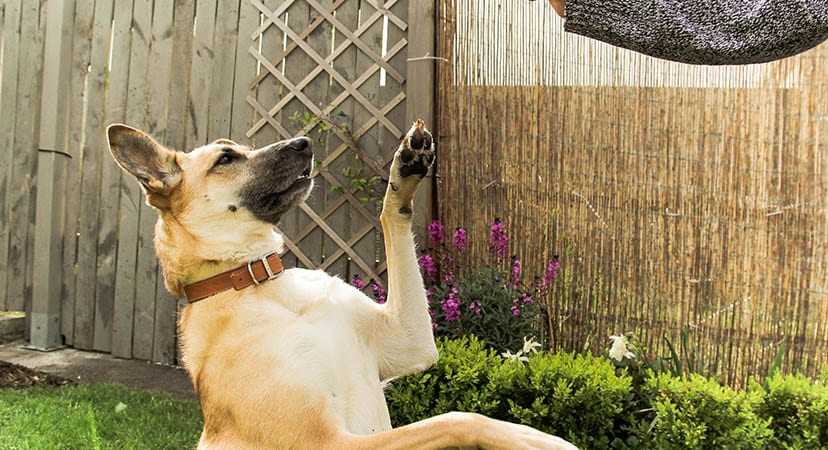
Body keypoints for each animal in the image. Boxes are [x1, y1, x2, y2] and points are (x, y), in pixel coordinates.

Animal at [107, 120, 577, 449]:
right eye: (225, 160)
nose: (304, 143)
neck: (261, 283)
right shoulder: (328, 442)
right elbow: (456, 419)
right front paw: (529, 437)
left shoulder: (408, 339)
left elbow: (391, 217)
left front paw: (404, 172)